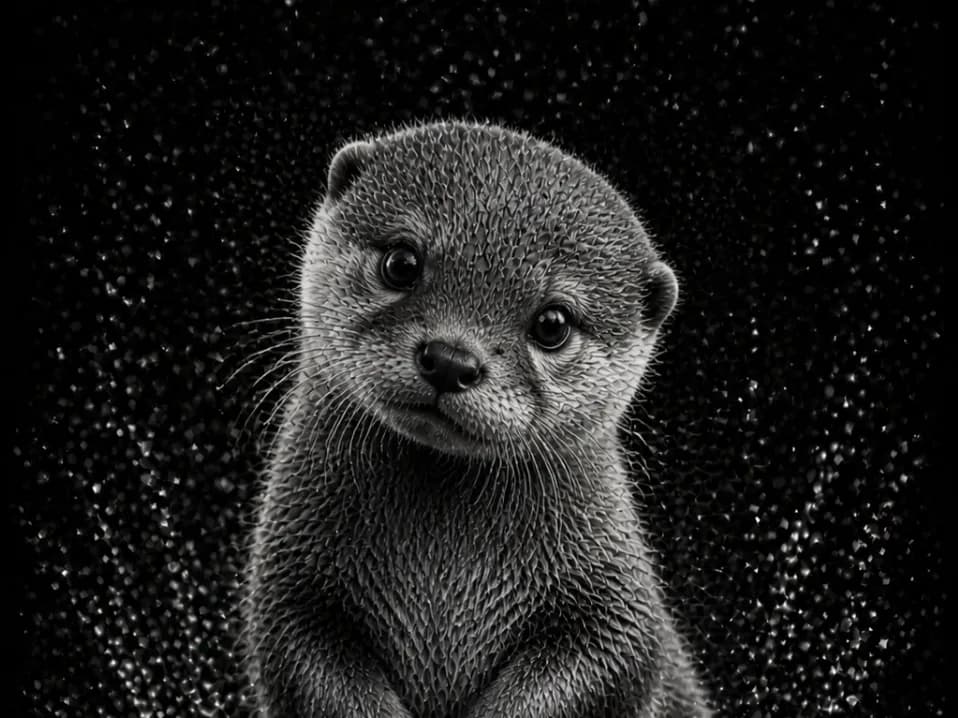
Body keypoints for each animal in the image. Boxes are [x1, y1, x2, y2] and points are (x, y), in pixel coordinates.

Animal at [244, 121, 712, 718]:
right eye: (402, 262)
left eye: (553, 323)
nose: (450, 359)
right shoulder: (288, 587)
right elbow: (306, 664)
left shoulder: (618, 608)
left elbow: (614, 663)